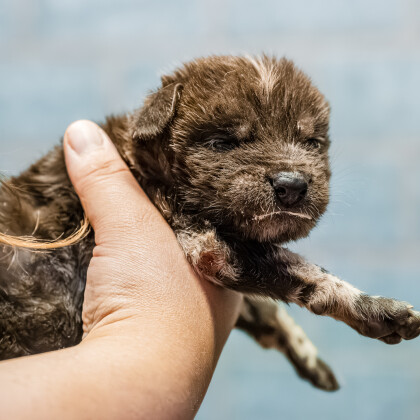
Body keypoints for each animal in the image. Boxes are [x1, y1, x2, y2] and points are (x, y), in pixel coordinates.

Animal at [0, 55, 420, 394]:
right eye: (223, 143)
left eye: (312, 143)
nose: (292, 185)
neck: (147, 163)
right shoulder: (206, 244)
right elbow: (309, 273)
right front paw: (378, 310)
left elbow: (268, 306)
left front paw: (308, 357)